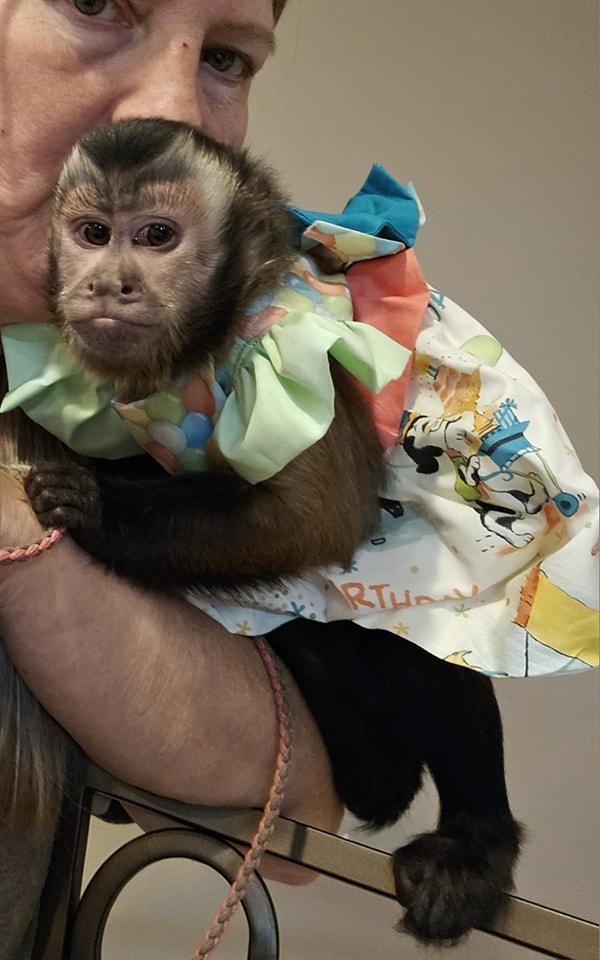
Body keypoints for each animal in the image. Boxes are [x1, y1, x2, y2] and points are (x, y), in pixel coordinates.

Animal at [10, 118, 522, 945]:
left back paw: (476, 842)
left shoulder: (291, 348)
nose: (107, 284)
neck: (204, 343)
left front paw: (96, 510)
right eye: (92, 234)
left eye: (156, 237)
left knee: (424, 629)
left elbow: (318, 515)